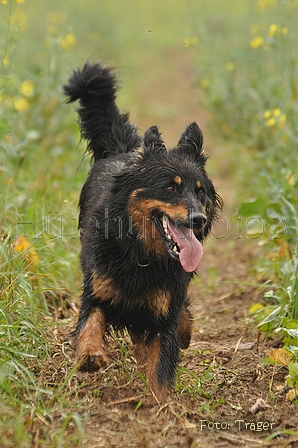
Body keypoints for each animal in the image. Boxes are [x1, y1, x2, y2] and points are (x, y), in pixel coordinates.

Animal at [62, 61, 222, 400]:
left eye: (200, 191)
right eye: (170, 188)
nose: (199, 219)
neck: (141, 252)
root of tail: (125, 149)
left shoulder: (164, 312)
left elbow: (160, 366)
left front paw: (160, 407)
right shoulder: (97, 289)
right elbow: (90, 323)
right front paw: (91, 355)